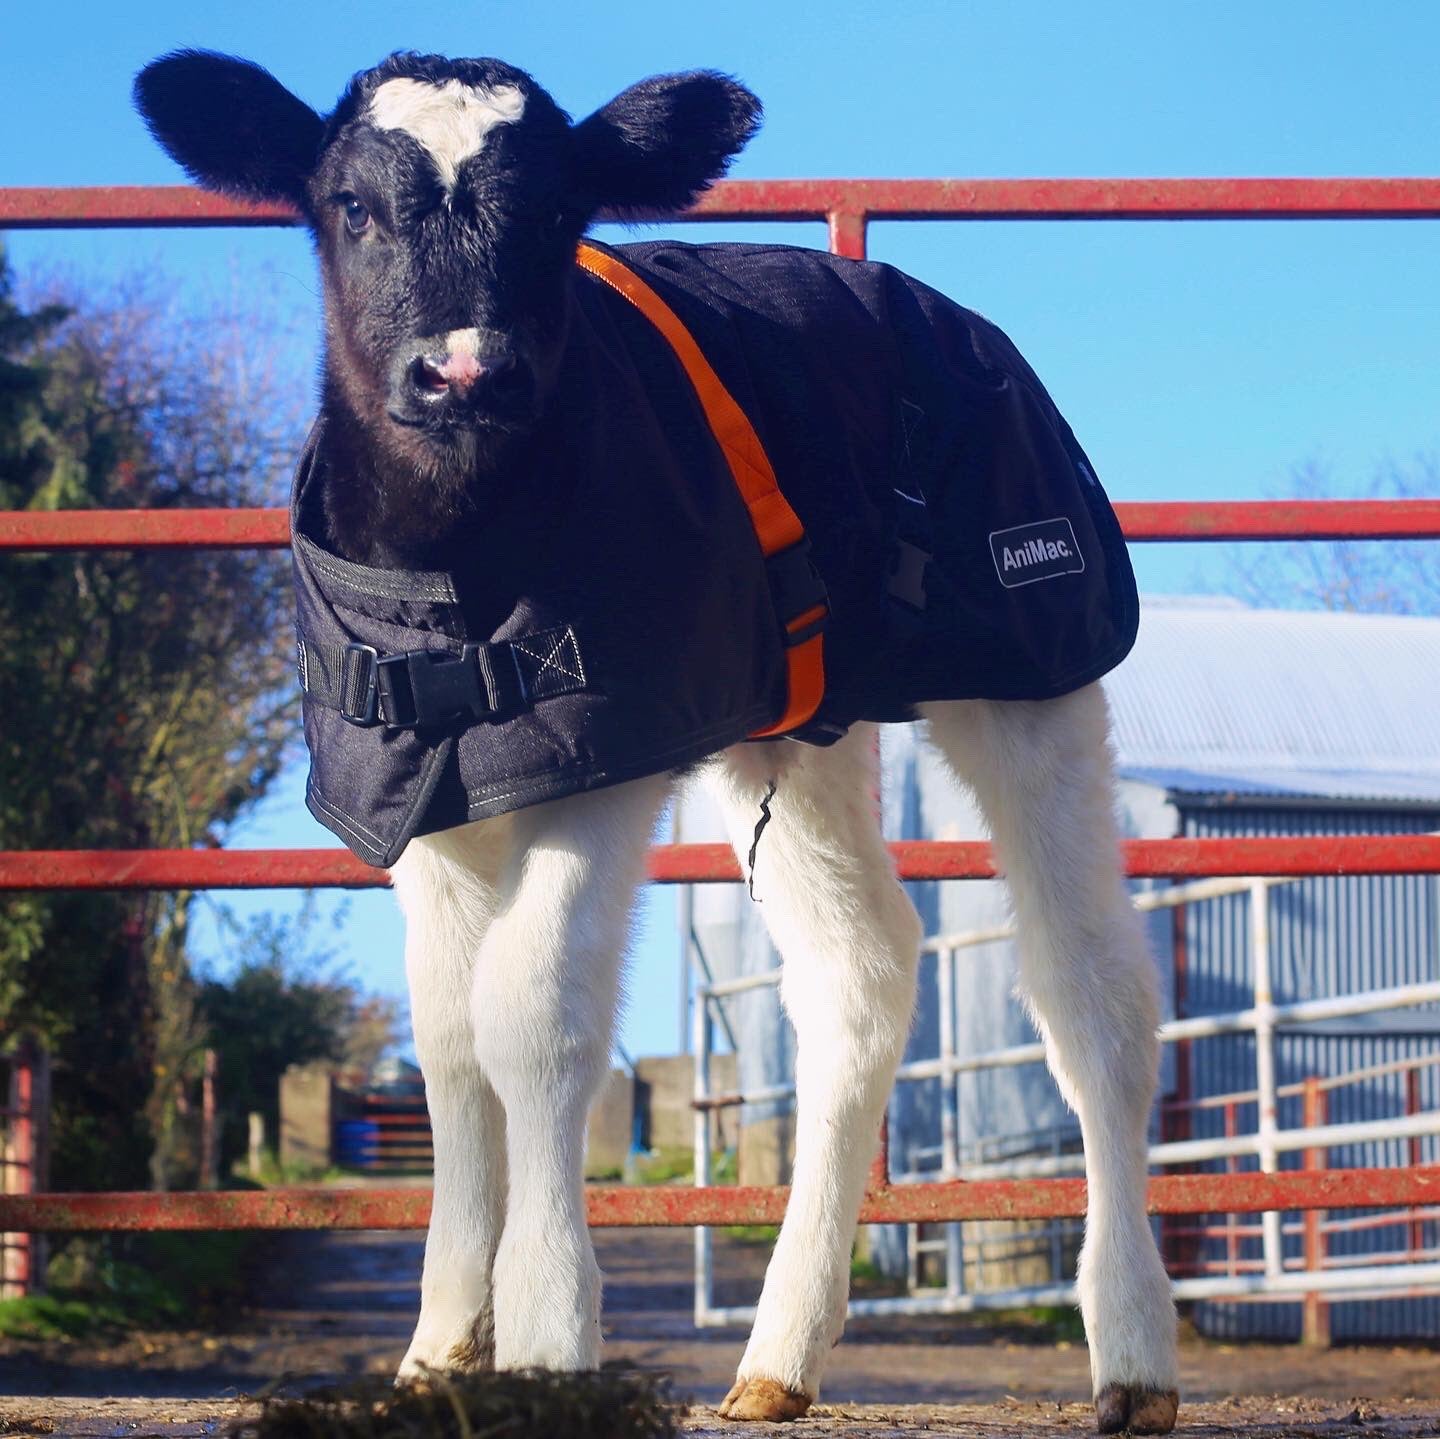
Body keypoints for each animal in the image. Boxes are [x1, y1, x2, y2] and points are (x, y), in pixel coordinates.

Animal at [133, 49, 1180, 1431]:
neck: (451, 568)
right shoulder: (406, 793)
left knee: (1090, 989)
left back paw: (1134, 1353)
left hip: (1035, 653)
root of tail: (906, 292)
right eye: (350, 205)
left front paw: (543, 1339)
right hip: (797, 725)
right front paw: (440, 1350)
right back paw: (779, 1354)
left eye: (558, 213)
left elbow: (530, 1012)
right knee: (862, 967)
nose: (463, 372)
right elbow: (447, 1039)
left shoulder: (604, 754)